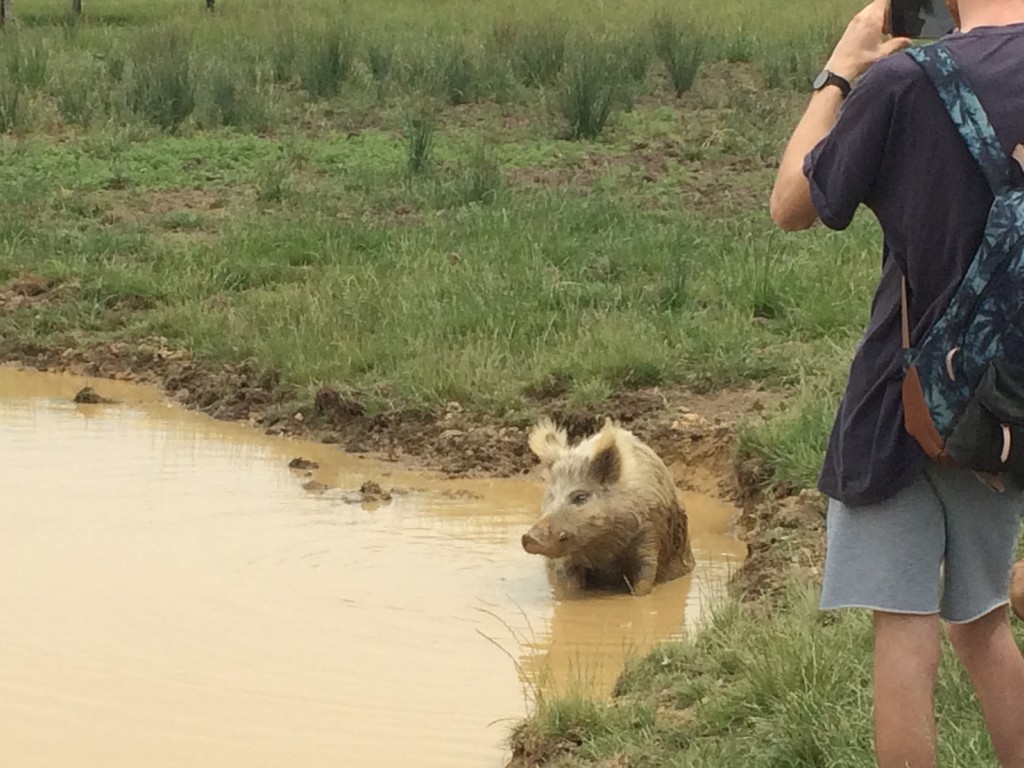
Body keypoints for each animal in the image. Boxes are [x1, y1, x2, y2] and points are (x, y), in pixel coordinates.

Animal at [520, 417, 696, 598]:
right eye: (552, 495)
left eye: (580, 497)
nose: (529, 537)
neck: (604, 550)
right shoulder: (566, 560)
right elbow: (570, 584)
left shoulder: (650, 534)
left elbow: (644, 579)